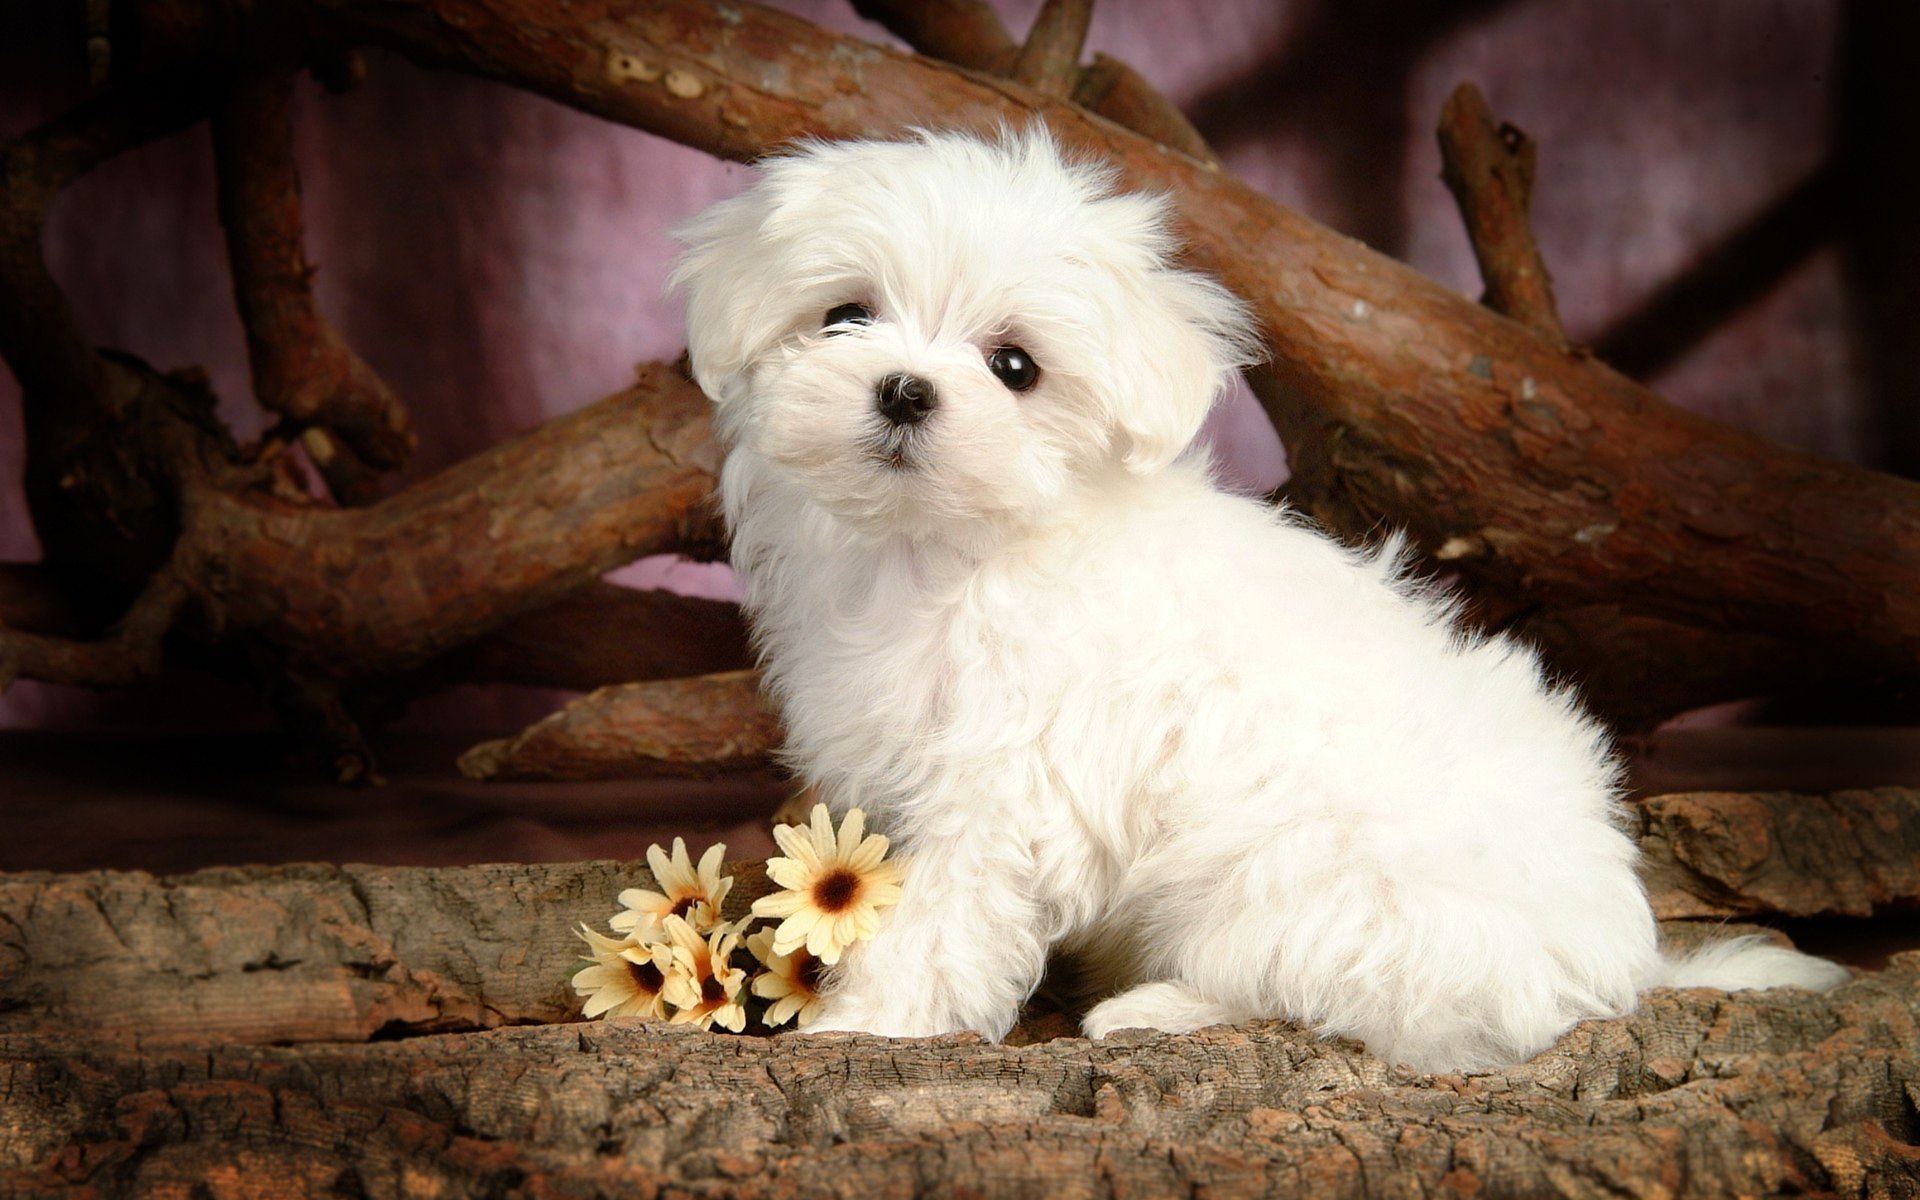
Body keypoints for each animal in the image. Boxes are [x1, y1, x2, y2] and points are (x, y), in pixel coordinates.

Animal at [675, 128, 1843, 1067]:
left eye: (1015, 367)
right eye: (845, 316)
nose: (906, 390)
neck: (944, 549)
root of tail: (1621, 959)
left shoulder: (1009, 785)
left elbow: (944, 914)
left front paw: (865, 1022)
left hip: (1315, 885)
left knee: (1314, 987)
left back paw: (1150, 1010)